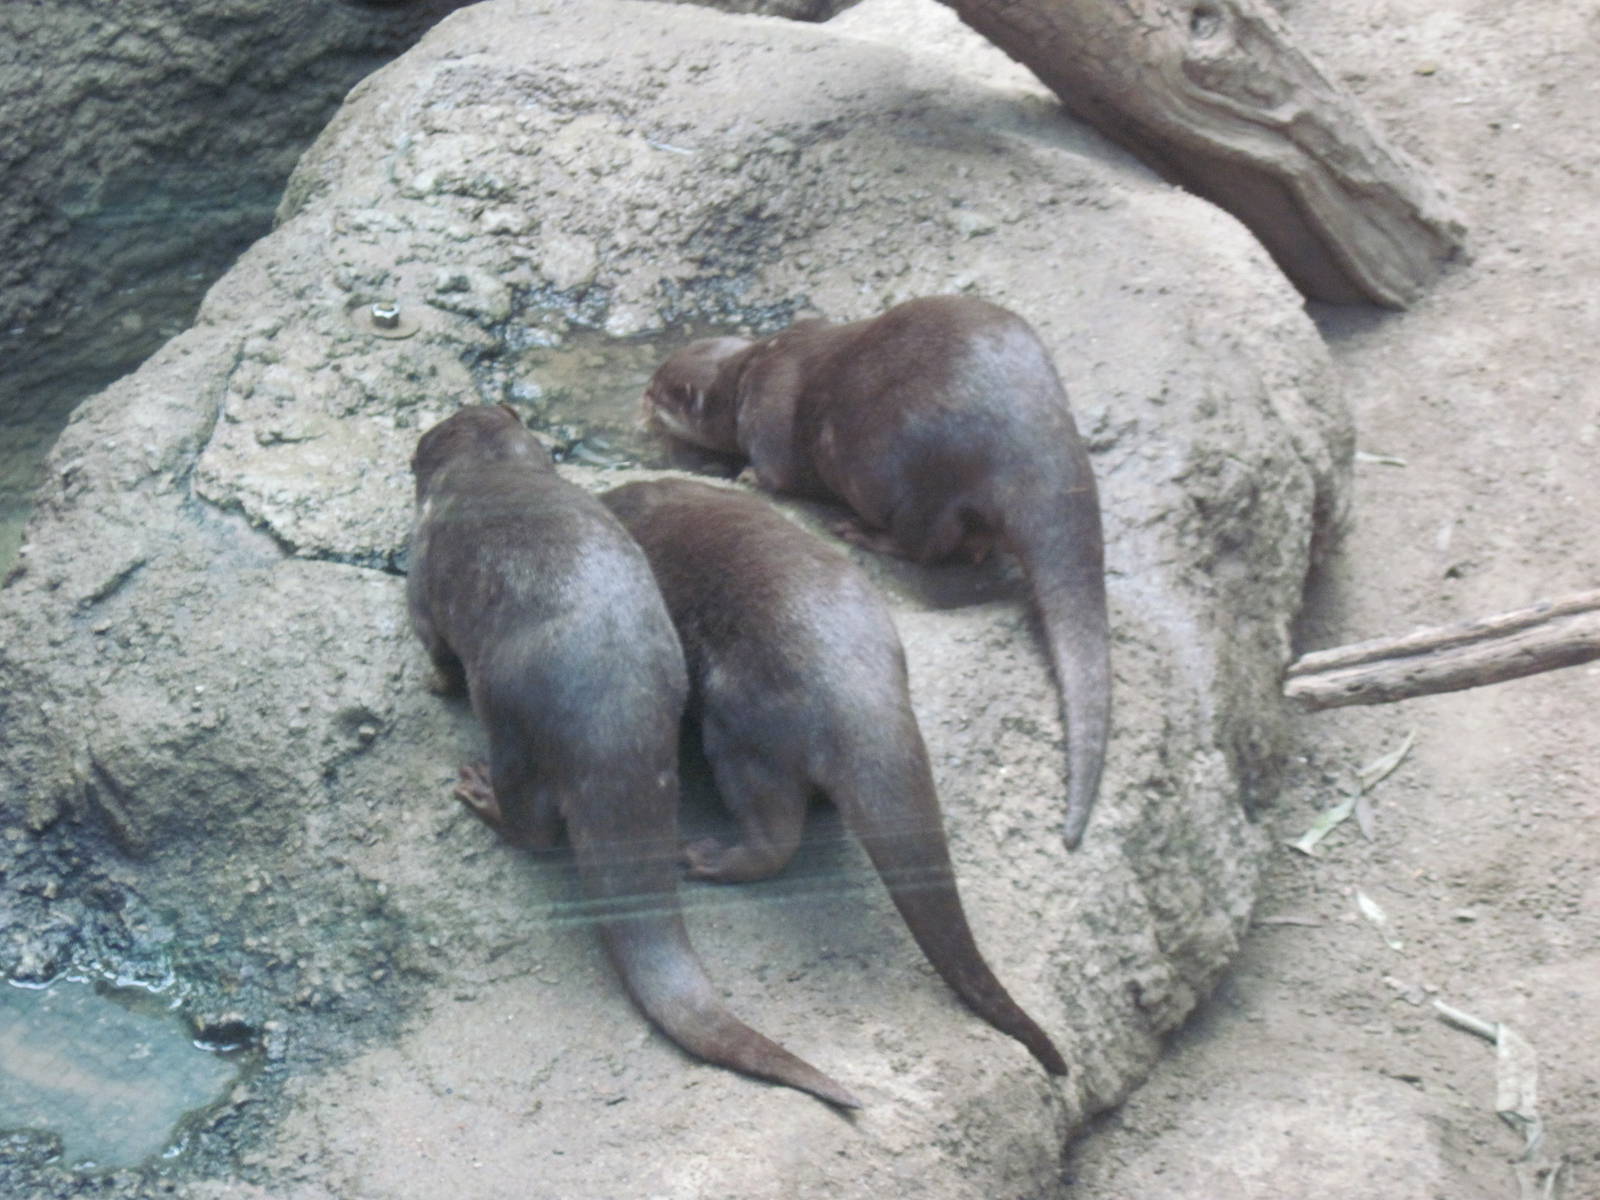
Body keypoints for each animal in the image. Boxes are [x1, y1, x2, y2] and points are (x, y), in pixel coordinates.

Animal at [407, 405, 859, 1108]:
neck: (491, 468)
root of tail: (610, 721)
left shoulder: (423, 568)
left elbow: (433, 644)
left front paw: (434, 682)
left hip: (511, 722)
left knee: (534, 825)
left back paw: (481, 794)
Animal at [642, 296, 1111, 847]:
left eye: (660, 389)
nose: (642, 397)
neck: (752, 368)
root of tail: (1026, 435)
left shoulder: (765, 413)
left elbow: (774, 472)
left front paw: (748, 474)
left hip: (900, 469)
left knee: (926, 541)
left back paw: (862, 532)